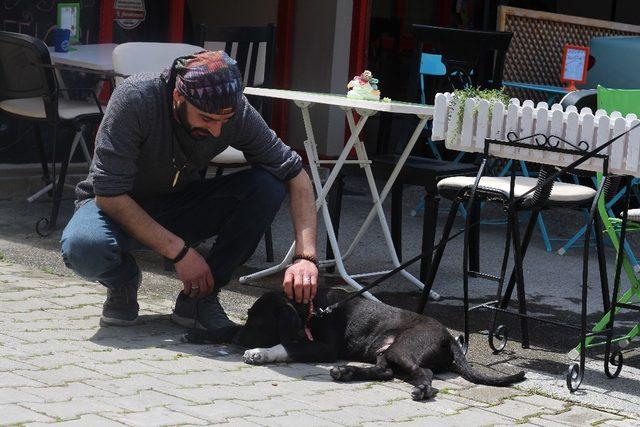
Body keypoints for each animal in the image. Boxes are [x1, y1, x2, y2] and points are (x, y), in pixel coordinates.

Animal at [190, 288, 524, 402]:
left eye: (260, 322)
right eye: (249, 316)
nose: (238, 342)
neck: (310, 310)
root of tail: (449, 336)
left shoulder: (324, 347)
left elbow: (287, 346)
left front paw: (259, 353)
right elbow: (228, 326)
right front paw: (204, 334)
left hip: (403, 348)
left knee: (424, 374)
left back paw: (421, 391)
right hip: (385, 351)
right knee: (386, 372)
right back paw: (347, 372)